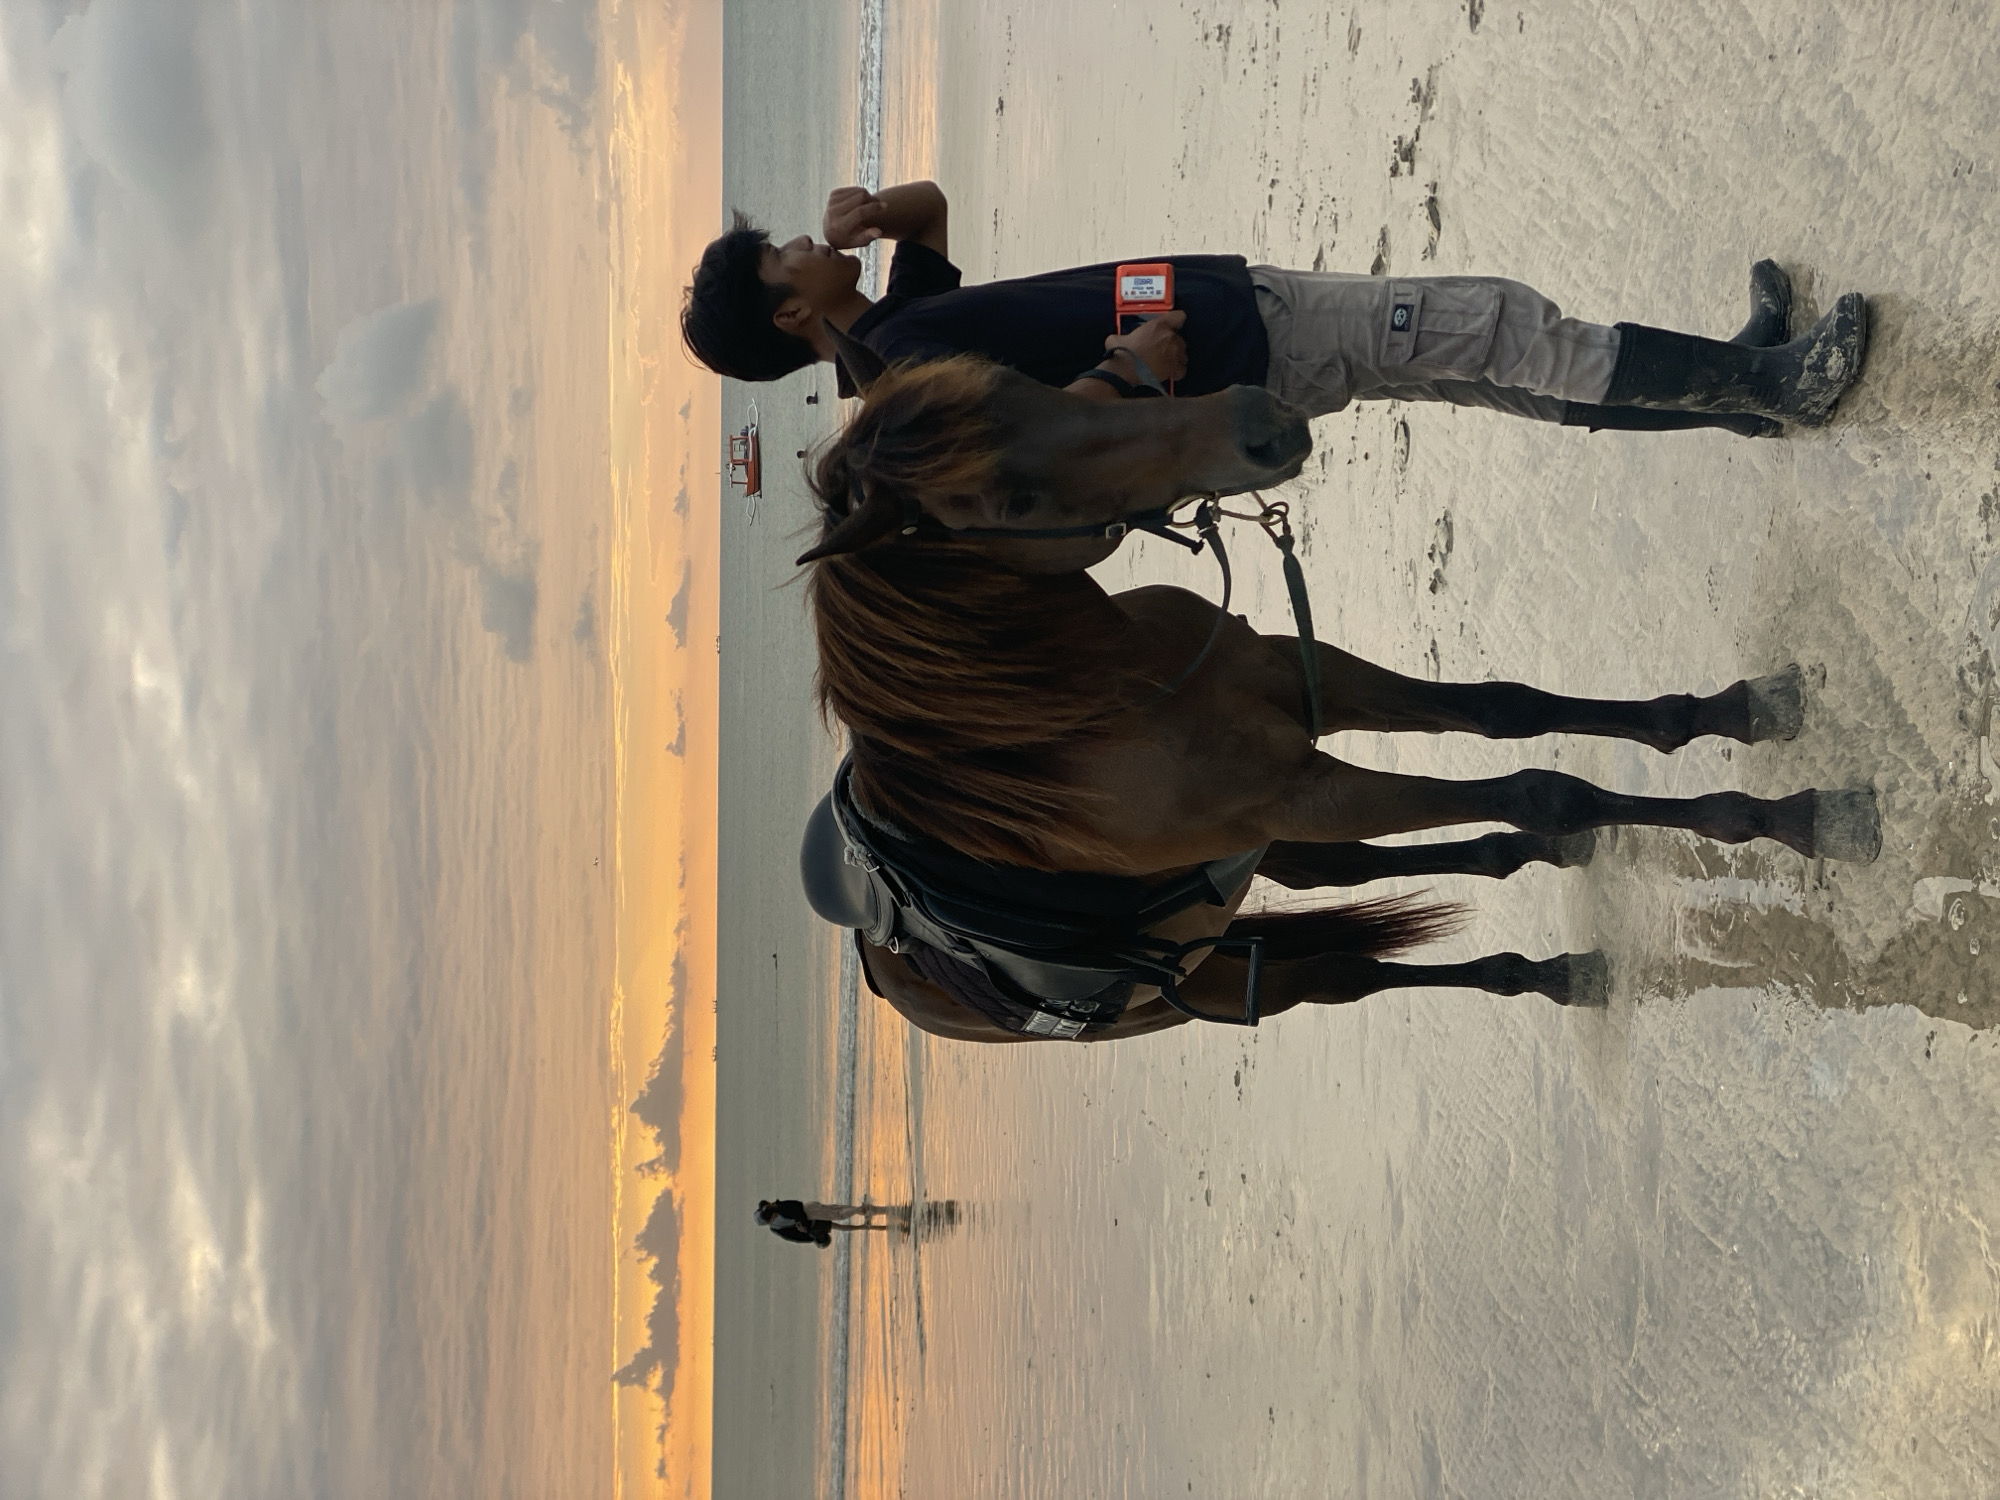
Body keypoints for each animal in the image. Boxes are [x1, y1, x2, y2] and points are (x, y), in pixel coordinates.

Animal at [798, 342, 1880, 1044]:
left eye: (1025, 380)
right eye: (1012, 500)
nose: (1256, 422)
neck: (1092, 705)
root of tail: (891, 971)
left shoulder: (1300, 680)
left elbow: (1508, 709)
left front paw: (1723, 714)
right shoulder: (1305, 790)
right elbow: (1544, 787)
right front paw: (1788, 815)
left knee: (1363, 875)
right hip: (1233, 970)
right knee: (1351, 971)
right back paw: (1535, 967)